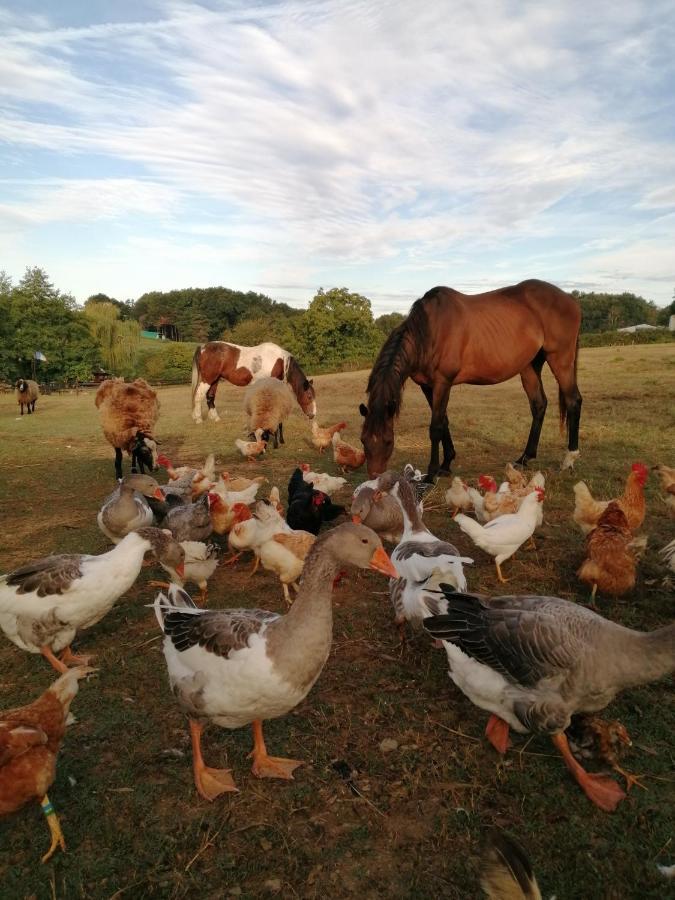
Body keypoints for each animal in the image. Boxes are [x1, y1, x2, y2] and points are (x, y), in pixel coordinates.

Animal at [362, 280, 584, 478]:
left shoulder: (443, 382)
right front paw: (446, 464)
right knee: (539, 405)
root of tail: (570, 300)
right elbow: (444, 421)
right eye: (363, 440)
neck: (431, 330)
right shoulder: (428, 386)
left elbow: (435, 427)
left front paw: (432, 473)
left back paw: (569, 459)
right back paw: (524, 459)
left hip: (560, 359)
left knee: (573, 400)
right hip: (529, 367)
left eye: (388, 441)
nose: (374, 476)